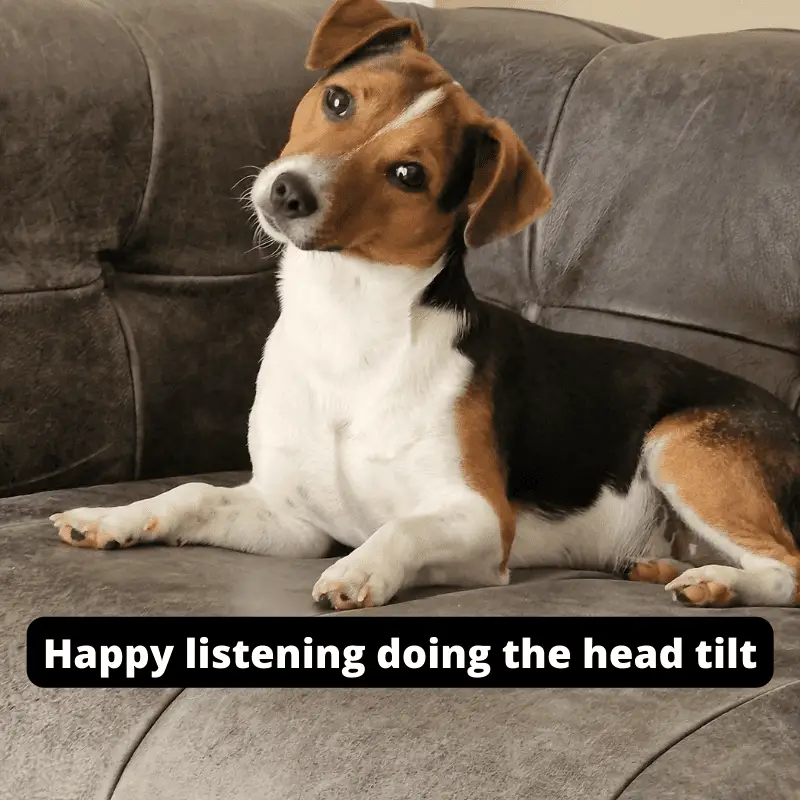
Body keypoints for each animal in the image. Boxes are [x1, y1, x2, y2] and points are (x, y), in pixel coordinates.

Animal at [48, 0, 800, 608]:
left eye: (409, 174)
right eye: (338, 101)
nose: (289, 192)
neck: (349, 324)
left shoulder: (480, 518)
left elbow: (400, 526)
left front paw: (360, 572)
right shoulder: (293, 520)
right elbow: (192, 494)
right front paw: (113, 519)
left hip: (680, 445)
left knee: (787, 569)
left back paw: (718, 584)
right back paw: (660, 567)